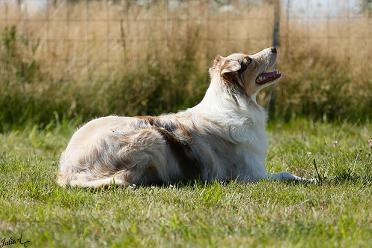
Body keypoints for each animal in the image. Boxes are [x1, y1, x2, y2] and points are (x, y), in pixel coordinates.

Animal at [56, 46, 306, 187]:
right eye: (249, 60)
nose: (274, 48)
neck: (234, 101)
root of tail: (68, 170)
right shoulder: (250, 174)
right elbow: (287, 174)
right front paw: (309, 179)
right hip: (152, 137)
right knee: (125, 178)